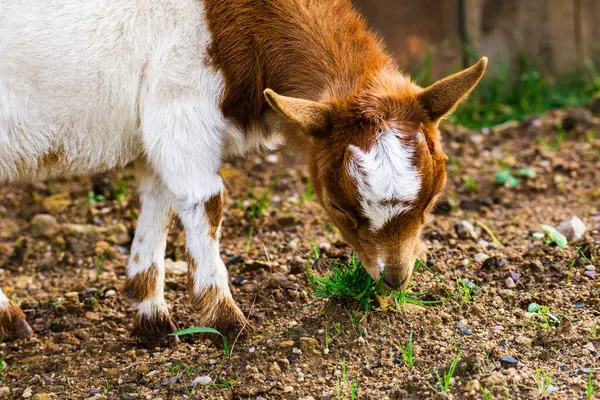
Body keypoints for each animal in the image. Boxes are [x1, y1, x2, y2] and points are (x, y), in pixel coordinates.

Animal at [0, 0, 486, 344]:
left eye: (432, 200)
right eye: (339, 207)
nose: (394, 279)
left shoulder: (157, 128)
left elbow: (158, 200)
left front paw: (152, 318)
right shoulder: (180, 105)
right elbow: (205, 201)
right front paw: (227, 321)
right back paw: (11, 319)